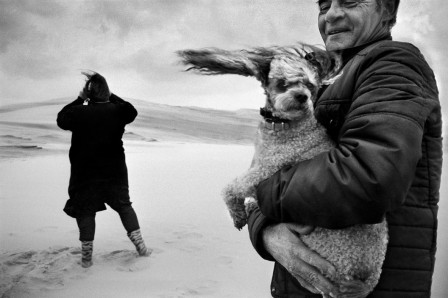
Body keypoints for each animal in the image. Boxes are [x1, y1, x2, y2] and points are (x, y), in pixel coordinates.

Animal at [178, 43, 388, 296]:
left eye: (310, 86)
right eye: (282, 83)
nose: (302, 96)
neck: (284, 124)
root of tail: (369, 278)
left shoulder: (267, 169)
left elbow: (230, 187)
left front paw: (237, 213)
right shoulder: (259, 165)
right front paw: (247, 207)